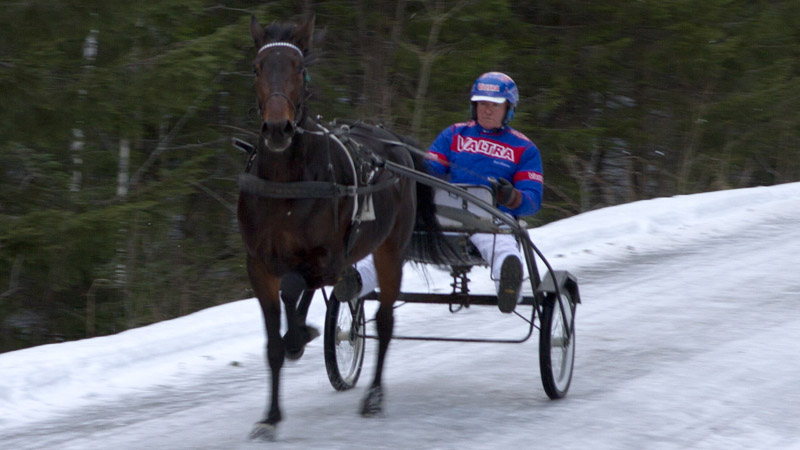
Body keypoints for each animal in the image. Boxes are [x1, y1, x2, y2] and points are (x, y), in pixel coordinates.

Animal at [239, 14, 456, 440]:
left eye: (299, 68)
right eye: (257, 68)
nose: (278, 128)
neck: (287, 184)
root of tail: (392, 140)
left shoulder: (327, 258)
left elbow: (296, 287)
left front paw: (298, 335)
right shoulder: (258, 265)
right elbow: (274, 340)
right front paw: (271, 417)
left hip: (391, 248)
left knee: (384, 321)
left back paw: (373, 396)